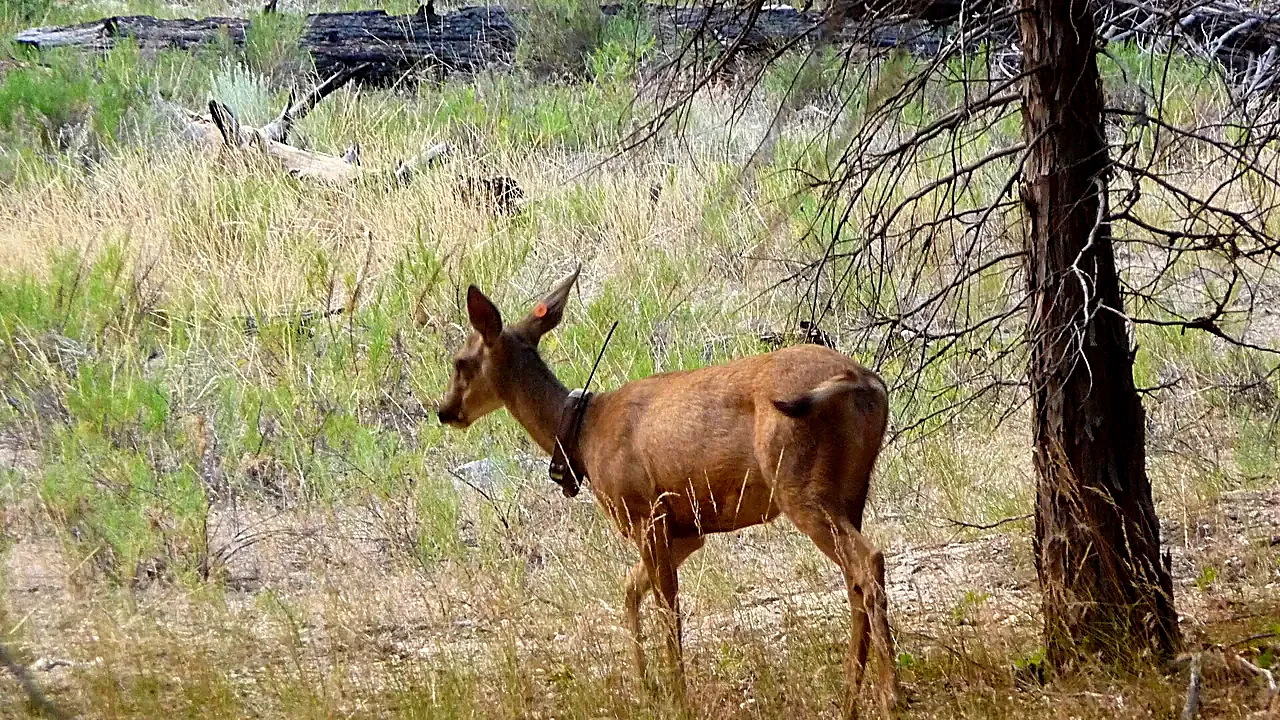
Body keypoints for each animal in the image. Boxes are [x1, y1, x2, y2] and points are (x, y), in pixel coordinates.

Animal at [435, 265, 900, 719]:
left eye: (460, 362)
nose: (444, 410)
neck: (583, 435)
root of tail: (864, 382)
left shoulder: (646, 513)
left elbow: (665, 608)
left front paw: (676, 695)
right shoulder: (686, 532)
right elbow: (630, 590)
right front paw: (647, 688)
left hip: (798, 484)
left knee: (868, 560)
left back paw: (888, 694)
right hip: (851, 488)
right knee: (855, 578)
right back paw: (851, 696)